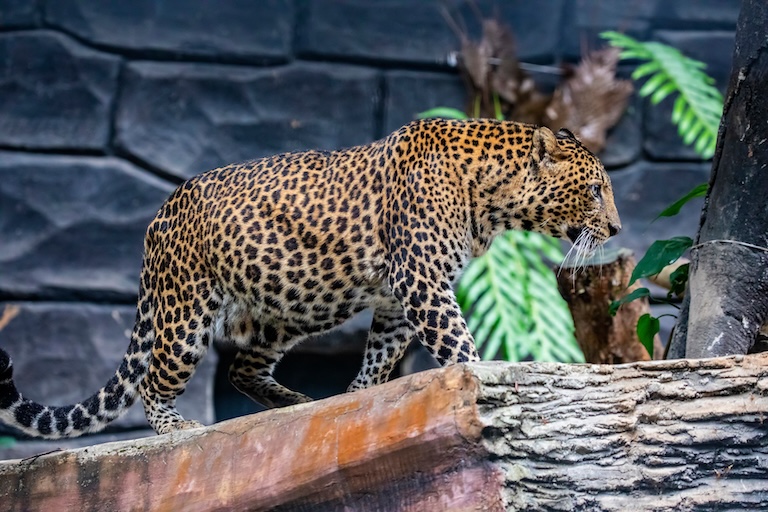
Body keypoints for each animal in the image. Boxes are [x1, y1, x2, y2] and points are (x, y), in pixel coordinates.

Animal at [0, 118, 621, 438]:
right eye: (594, 190)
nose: (616, 227)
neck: (491, 198)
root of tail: (160, 213)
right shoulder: (421, 280)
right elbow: (456, 343)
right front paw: (486, 374)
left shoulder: (396, 300)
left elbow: (379, 357)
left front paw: (357, 398)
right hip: (185, 314)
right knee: (155, 379)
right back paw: (177, 426)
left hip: (296, 304)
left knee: (244, 367)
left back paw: (294, 402)